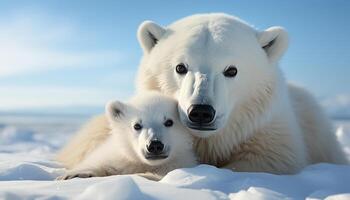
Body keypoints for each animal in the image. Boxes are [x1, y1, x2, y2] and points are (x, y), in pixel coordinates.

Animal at [57, 93, 197, 180]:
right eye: (137, 125)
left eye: (169, 122)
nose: (154, 145)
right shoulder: (118, 157)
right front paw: (74, 175)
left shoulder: (180, 163)